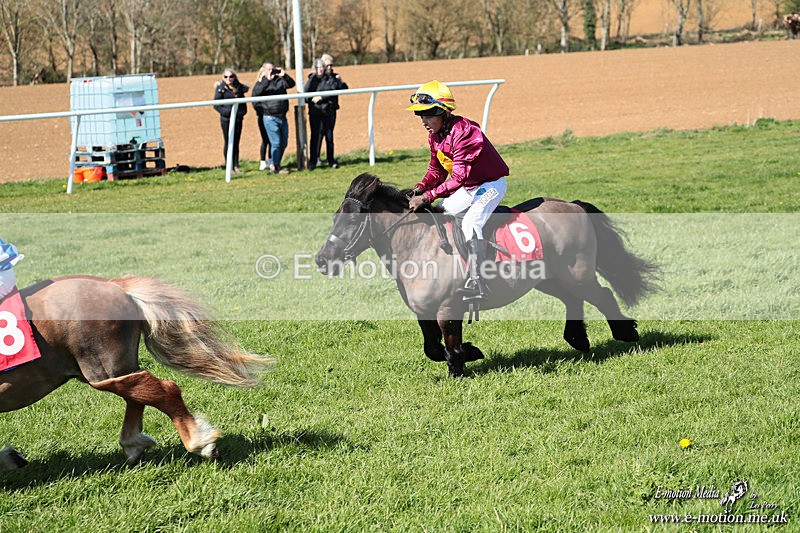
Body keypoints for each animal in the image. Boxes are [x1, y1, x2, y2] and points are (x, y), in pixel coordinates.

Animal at [0, 275, 273, 470]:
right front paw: (11, 458)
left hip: (100, 368)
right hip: (115, 366)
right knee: (138, 391)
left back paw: (199, 442)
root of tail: (115, 286)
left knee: (159, 389)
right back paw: (134, 445)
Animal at [315, 173, 658, 378]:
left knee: (603, 295)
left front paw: (462, 363)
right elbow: (432, 348)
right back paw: (578, 339)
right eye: (334, 217)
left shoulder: (448, 307)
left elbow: (450, 346)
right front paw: (471, 352)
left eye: (351, 220)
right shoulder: (423, 312)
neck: (419, 245)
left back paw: (627, 334)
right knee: (574, 301)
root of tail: (573, 205)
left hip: (578, 273)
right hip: (549, 279)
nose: (322, 259)